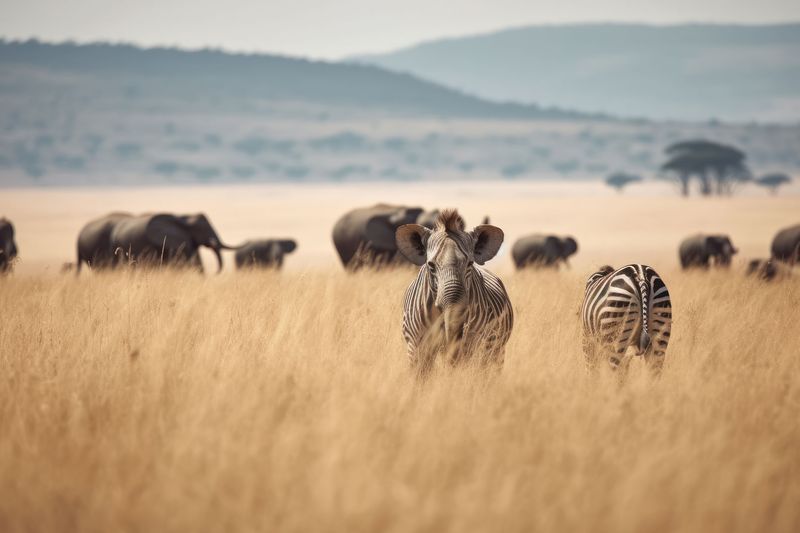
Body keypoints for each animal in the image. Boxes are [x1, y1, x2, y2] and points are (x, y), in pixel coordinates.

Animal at [395, 209, 513, 375]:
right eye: (430, 265)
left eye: (470, 263)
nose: (455, 335)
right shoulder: (416, 346)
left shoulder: (475, 343)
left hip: (496, 348)